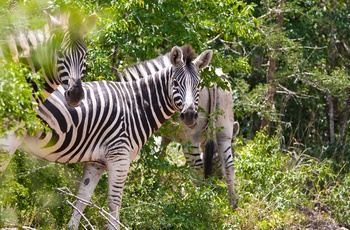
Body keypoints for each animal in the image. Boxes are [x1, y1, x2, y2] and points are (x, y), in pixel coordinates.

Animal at [0, 44, 213, 228]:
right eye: (176, 83)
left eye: (198, 84)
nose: (189, 116)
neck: (135, 106)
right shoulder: (120, 157)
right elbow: (114, 202)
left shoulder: (97, 162)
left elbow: (82, 198)